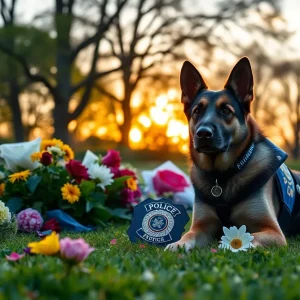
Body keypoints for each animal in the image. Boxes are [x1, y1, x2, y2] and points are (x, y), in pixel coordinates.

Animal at [165, 57, 300, 252]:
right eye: (197, 111)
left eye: (226, 111)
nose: (203, 134)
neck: (221, 176)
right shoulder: (202, 226)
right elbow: (189, 235)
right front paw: (178, 244)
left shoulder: (273, 231)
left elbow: (249, 236)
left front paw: (230, 245)